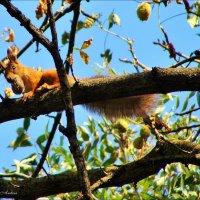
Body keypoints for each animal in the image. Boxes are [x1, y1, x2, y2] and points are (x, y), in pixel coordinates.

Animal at [0, 47, 156, 119]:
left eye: (13, 67)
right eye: (4, 73)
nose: (9, 79)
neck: (23, 76)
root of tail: (71, 78)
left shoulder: (34, 78)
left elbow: (33, 86)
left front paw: (28, 94)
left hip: (51, 74)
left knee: (59, 84)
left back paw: (46, 87)